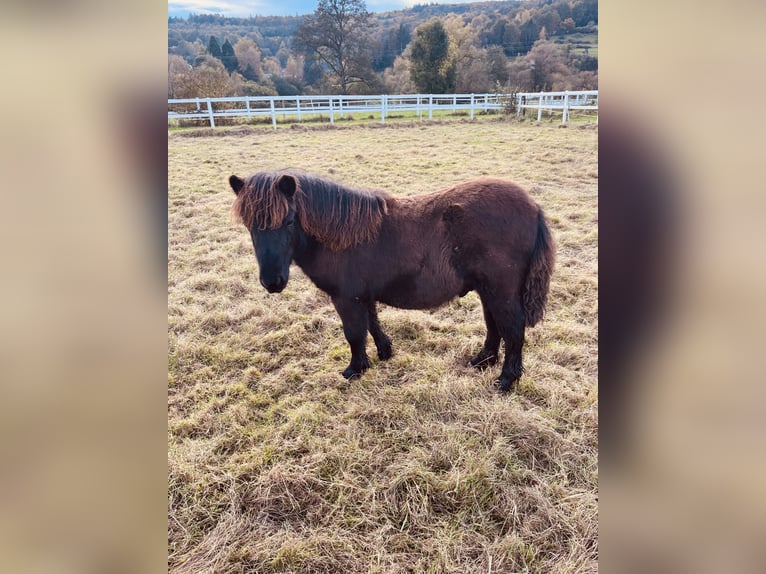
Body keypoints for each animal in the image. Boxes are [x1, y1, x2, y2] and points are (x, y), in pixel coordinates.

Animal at [231, 171, 556, 394]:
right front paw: (384, 352)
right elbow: (372, 324)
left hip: (501, 292)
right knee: (494, 326)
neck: (340, 235)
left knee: (513, 330)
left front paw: (355, 369)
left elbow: (354, 334)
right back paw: (482, 361)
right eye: (249, 226)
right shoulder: (363, 295)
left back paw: (506, 379)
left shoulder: (346, 298)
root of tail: (533, 206)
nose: (272, 282)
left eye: (287, 221)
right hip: (488, 290)